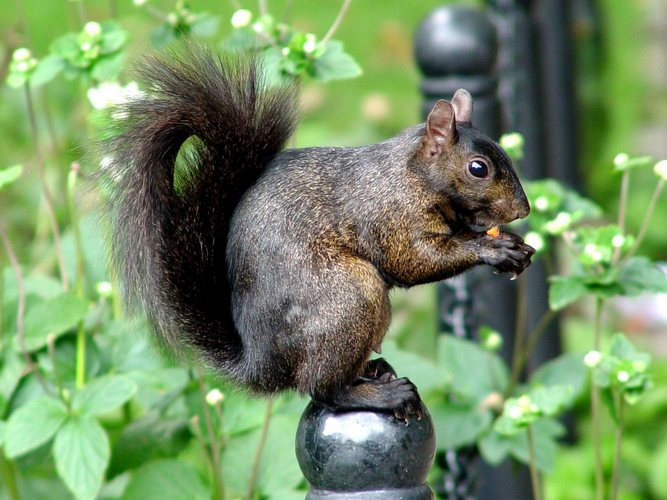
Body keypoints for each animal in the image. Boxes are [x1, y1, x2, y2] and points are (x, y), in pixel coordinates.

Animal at [102, 45, 536, 418]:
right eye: (478, 168)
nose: (523, 209)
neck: (412, 174)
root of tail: (262, 363)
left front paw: (513, 246)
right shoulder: (389, 215)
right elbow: (414, 261)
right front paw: (492, 249)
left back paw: (374, 371)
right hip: (349, 297)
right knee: (321, 389)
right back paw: (380, 394)